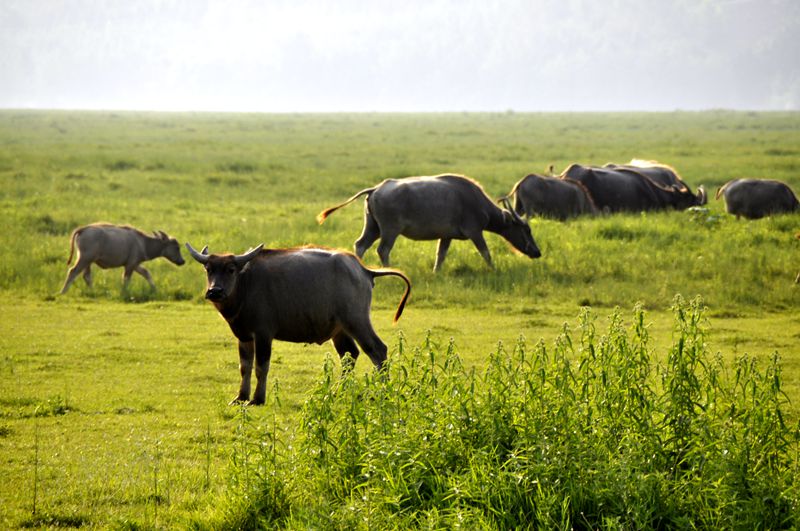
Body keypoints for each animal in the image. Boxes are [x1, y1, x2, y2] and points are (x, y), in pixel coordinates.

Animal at [187, 243, 412, 406]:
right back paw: (338, 392)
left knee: (377, 350)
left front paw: (258, 399)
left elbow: (261, 367)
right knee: (349, 355)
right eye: (209, 269)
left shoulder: (263, 334)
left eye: (231, 269)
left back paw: (383, 392)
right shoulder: (243, 336)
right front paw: (241, 397)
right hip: (340, 330)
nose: (215, 291)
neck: (245, 285)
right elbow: (245, 367)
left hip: (357, 320)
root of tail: (364, 270)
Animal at [316, 175, 540, 272]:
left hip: (373, 228)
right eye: (526, 229)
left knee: (360, 245)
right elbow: (486, 253)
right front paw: (494, 270)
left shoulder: (446, 236)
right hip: (389, 230)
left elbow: (440, 255)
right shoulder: (475, 232)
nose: (537, 252)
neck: (476, 200)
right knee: (383, 250)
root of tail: (376, 189)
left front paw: (436, 273)